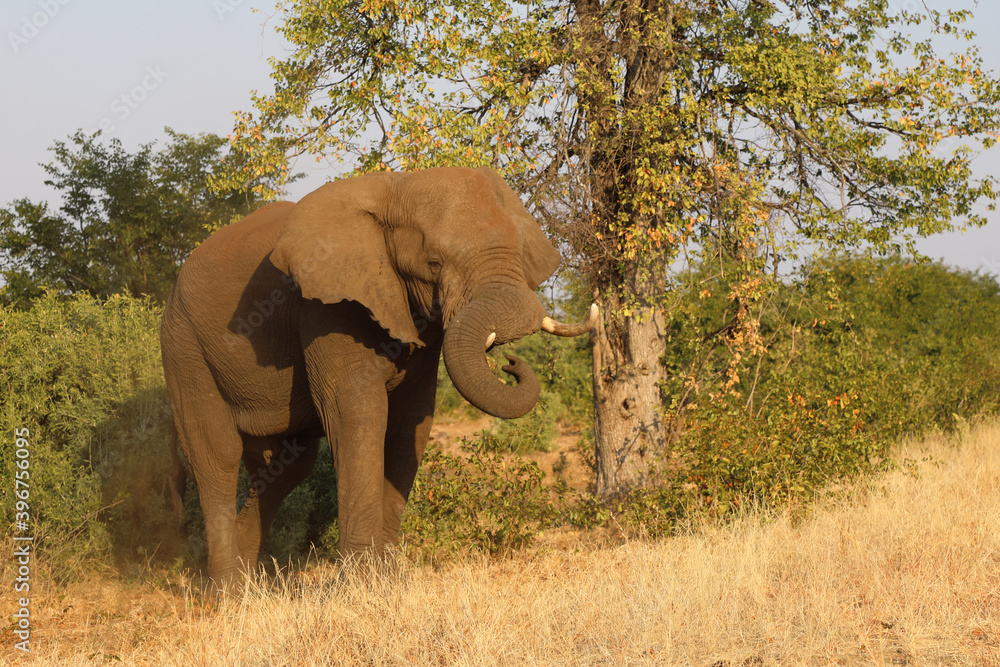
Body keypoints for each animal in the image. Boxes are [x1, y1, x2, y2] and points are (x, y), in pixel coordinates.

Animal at [160, 166, 598, 586]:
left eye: (520, 251)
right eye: (433, 263)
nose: (510, 361)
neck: (397, 186)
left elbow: (409, 424)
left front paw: (390, 578)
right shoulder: (327, 306)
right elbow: (358, 413)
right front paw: (364, 584)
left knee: (288, 465)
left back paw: (250, 585)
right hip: (183, 344)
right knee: (217, 454)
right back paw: (231, 596)